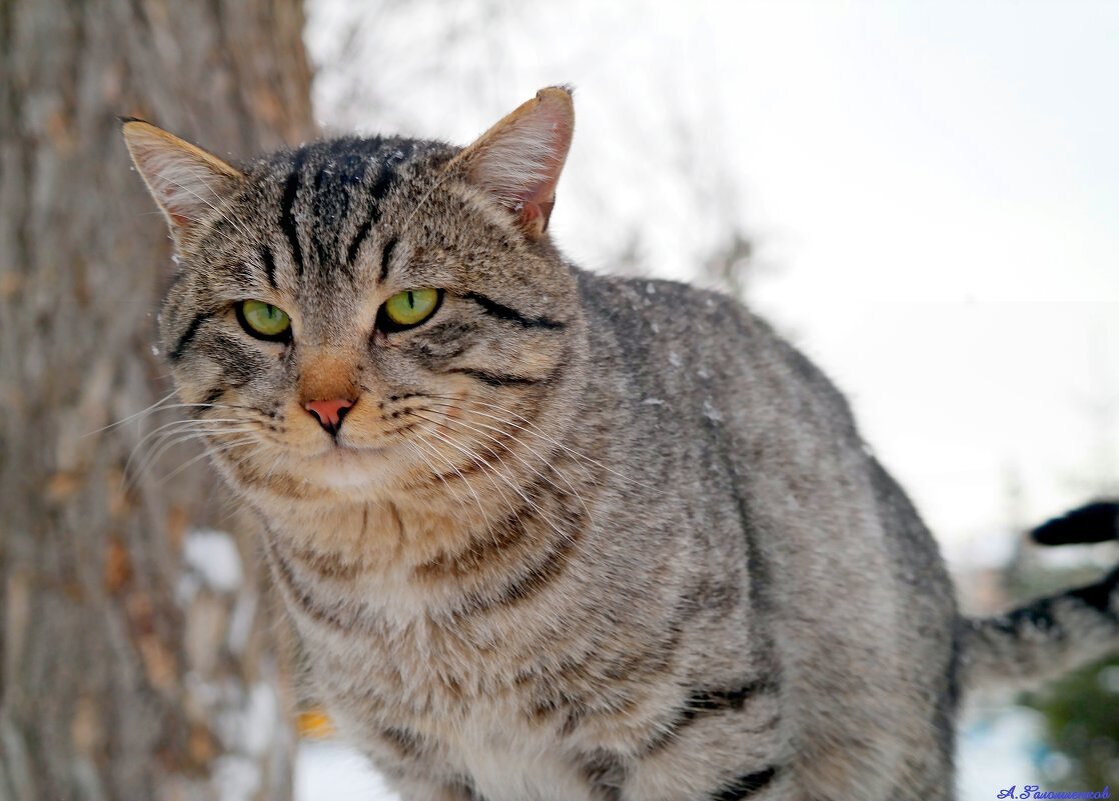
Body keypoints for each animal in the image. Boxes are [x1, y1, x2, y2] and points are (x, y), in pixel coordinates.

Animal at [122, 88, 1119, 801]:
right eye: (262, 318)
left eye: (410, 305)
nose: (326, 404)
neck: (405, 573)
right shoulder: (423, 766)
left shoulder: (698, 726)